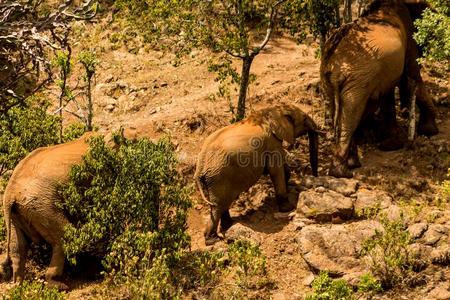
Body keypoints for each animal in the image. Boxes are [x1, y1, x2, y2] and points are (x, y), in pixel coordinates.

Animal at [194, 104, 320, 245]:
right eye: (304, 118)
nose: (315, 177)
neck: (271, 111)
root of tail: (200, 166)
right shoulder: (271, 141)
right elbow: (276, 170)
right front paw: (288, 208)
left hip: (213, 179)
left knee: (219, 205)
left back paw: (227, 226)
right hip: (219, 177)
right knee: (218, 207)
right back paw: (213, 240)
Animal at [320, 0, 440, 178]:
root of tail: (332, 61)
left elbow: (389, 93)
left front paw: (390, 145)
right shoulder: (409, 39)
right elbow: (410, 77)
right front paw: (430, 131)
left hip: (332, 81)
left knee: (342, 110)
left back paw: (350, 165)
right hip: (357, 79)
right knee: (352, 113)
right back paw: (342, 173)